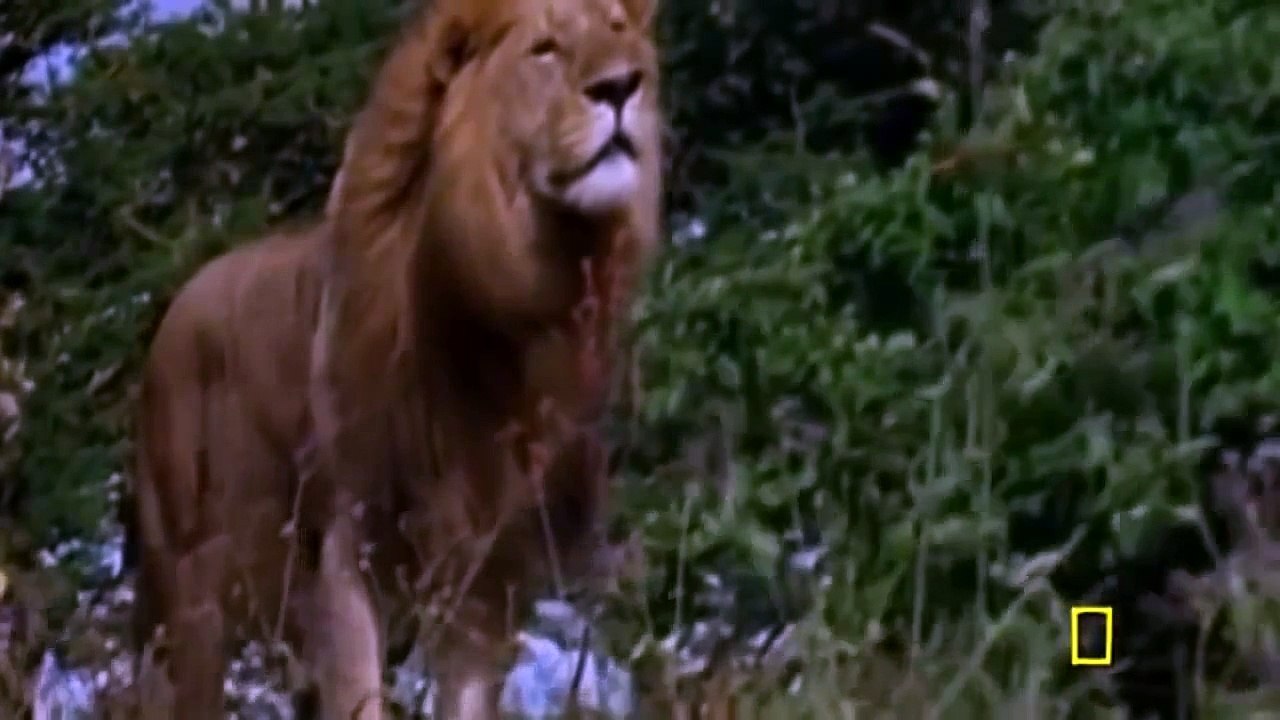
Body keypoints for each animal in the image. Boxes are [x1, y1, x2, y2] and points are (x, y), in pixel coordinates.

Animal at [127, 0, 662, 717]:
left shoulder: (487, 579)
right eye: (545, 48)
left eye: (618, 31)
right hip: (189, 601)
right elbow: (361, 696)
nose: (622, 85)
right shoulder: (349, 550)